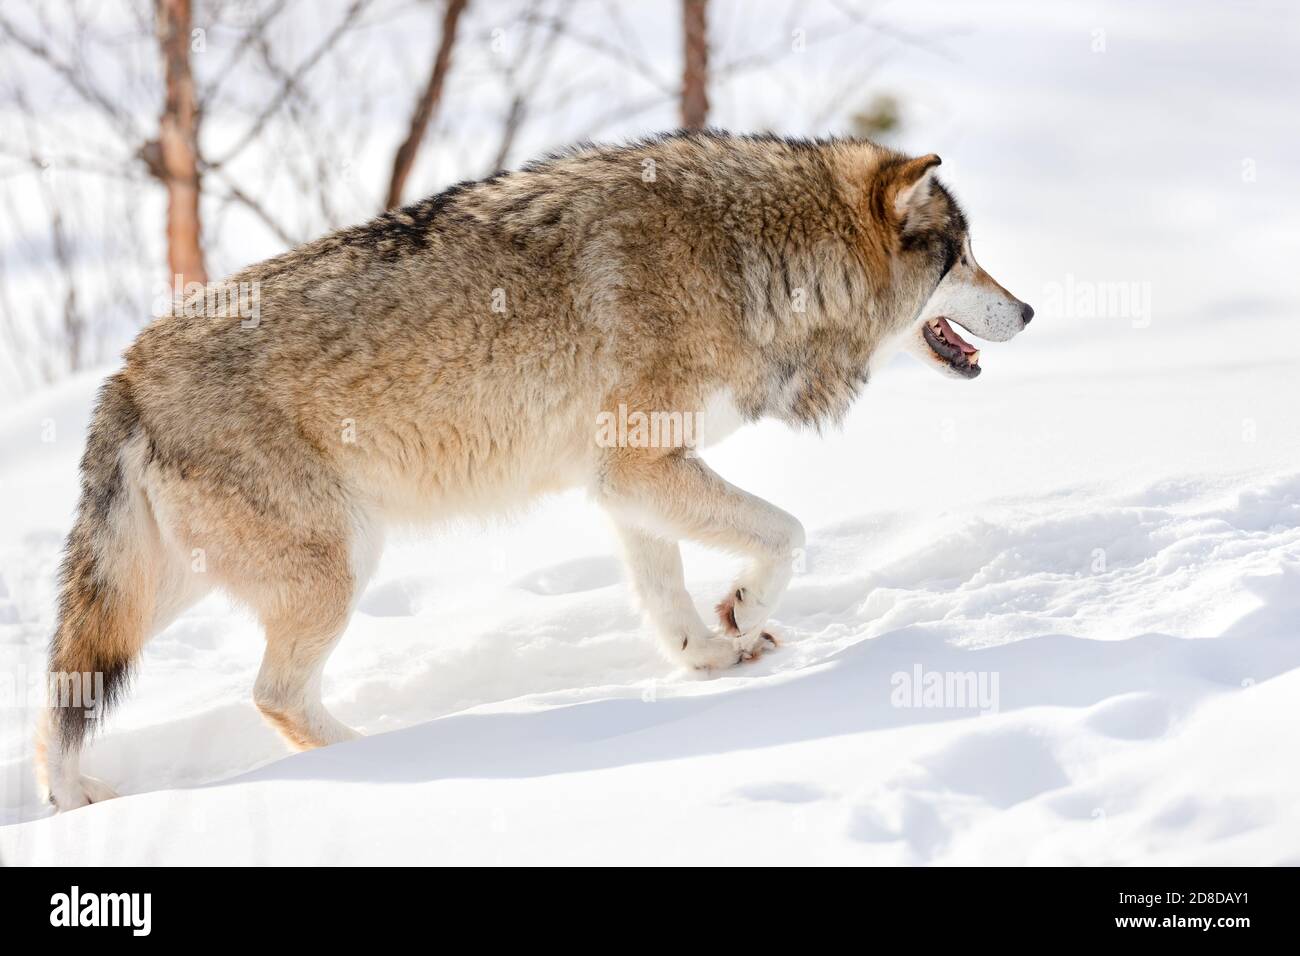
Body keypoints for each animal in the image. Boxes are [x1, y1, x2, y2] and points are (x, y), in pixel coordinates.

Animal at [35, 130, 1029, 811]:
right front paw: (743, 612)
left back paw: (69, 800)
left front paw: (711, 656)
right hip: (334, 568)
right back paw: (385, 756)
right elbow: (786, 533)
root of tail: (126, 374)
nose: (1027, 310)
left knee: (60, 696)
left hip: (177, 590)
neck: (754, 259)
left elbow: (667, 596)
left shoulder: (629, 483)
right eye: (967, 256)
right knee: (270, 694)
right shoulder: (640, 467)